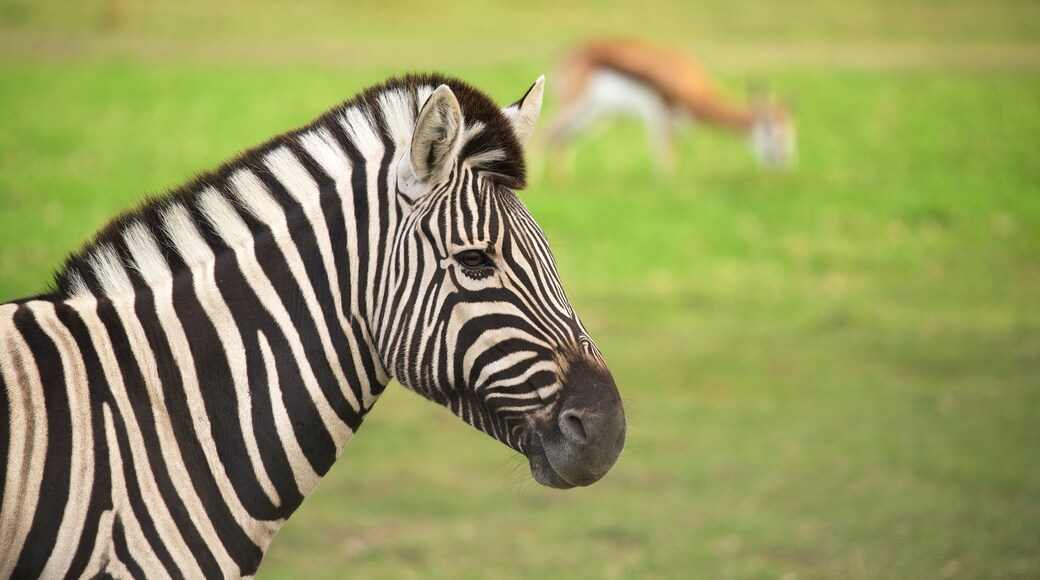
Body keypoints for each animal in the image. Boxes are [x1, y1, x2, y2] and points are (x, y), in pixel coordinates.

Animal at [544, 38, 794, 176]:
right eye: (776, 134)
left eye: (792, 132)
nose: (784, 163)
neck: (686, 79)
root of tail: (565, 54)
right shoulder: (659, 112)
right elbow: (663, 154)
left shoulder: (674, 120)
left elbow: (670, 152)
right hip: (574, 104)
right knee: (547, 134)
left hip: (595, 116)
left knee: (563, 137)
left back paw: (563, 181)